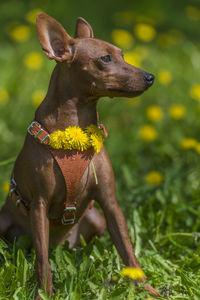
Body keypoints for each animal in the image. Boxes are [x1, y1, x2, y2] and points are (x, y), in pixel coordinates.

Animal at [0, 13, 159, 300]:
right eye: (105, 59)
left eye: (122, 55)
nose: (150, 76)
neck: (74, 128)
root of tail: (60, 243)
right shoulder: (39, 205)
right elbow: (41, 260)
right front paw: (44, 292)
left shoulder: (110, 204)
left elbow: (128, 252)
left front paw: (145, 288)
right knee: (39, 250)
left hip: (95, 218)